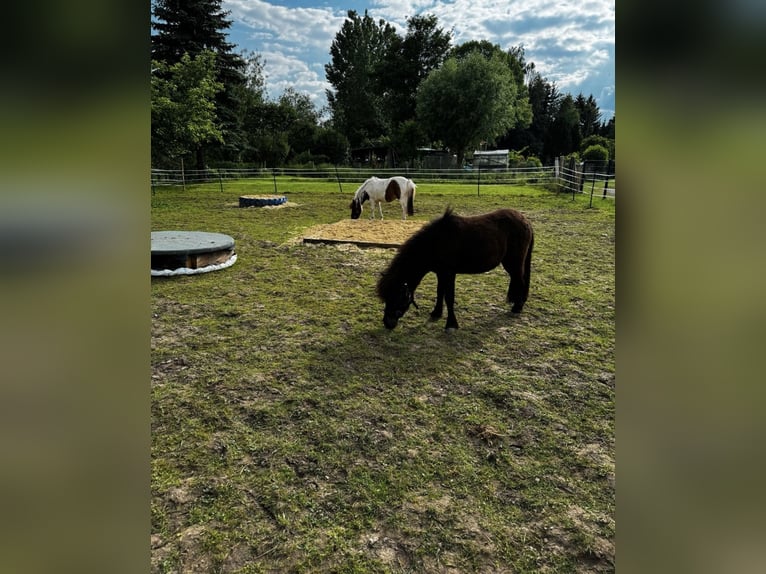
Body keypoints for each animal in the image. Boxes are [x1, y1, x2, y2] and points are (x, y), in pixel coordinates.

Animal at [376, 209, 536, 330]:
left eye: (396, 297)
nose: (387, 323)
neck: (435, 243)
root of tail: (525, 221)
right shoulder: (440, 273)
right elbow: (440, 293)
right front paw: (436, 313)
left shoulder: (449, 273)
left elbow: (449, 297)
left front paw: (451, 324)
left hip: (513, 262)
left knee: (520, 280)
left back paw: (517, 307)